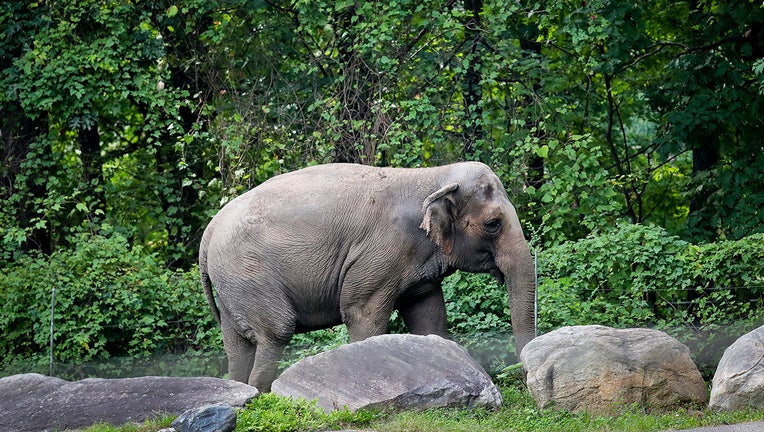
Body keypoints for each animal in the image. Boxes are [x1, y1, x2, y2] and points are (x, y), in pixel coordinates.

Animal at [200, 162, 536, 392]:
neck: (432, 176)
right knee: (275, 332)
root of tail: (209, 231)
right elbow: (363, 315)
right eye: (493, 224)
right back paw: (260, 393)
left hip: (233, 285)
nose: (523, 377)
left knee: (237, 345)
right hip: (249, 273)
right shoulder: (379, 254)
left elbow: (429, 318)